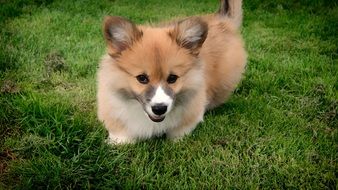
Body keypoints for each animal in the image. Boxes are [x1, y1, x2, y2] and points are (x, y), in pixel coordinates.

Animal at [97, 0, 246, 143]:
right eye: (142, 78)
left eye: (172, 78)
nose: (159, 109)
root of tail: (223, 20)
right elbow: (121, 132)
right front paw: (119, 142)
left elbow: (180, 130)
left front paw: (177, 140)